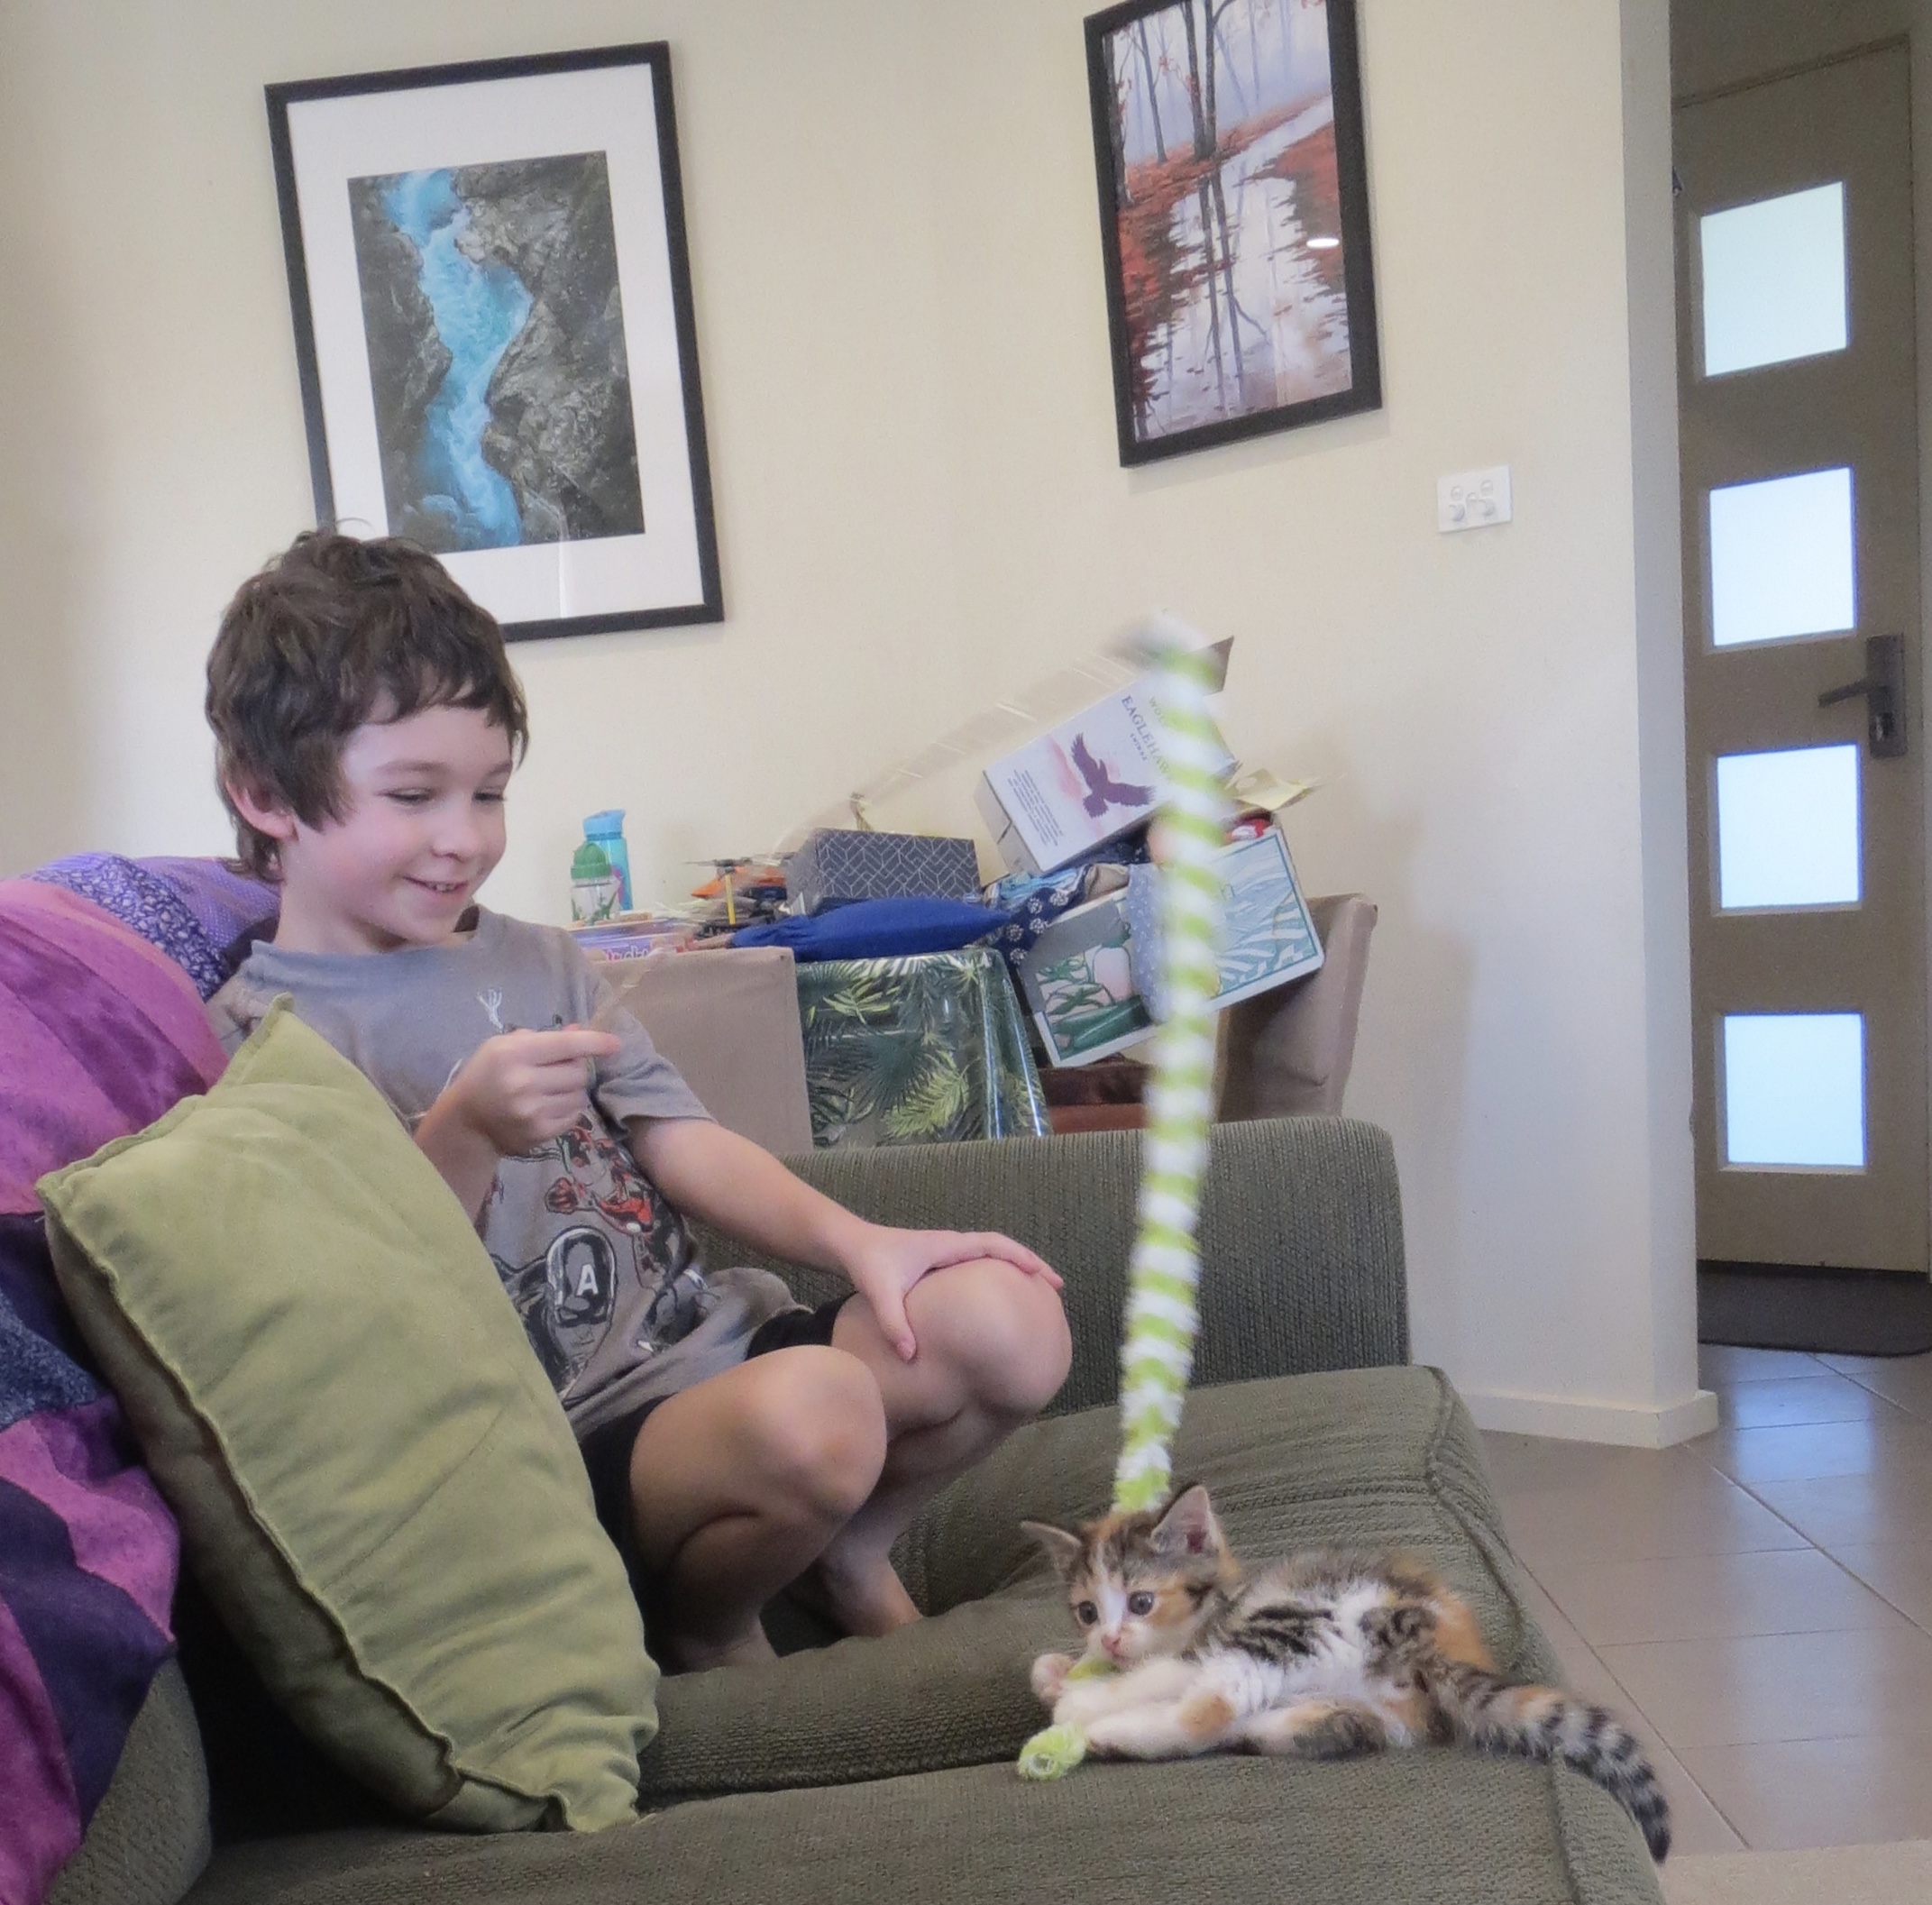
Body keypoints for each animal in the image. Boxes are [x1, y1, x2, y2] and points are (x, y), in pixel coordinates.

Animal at [1021, 1484, 1670, 1863]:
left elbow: (1159, 1674)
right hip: (1370, 1708)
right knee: (1295, 1723)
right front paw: (1056, 1671)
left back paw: (1102, 1730)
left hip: (1300, 1621)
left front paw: (1080, 1697)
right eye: (1086, 1610)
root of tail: (1431, 1639)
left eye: (1141, 1602)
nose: (1108, 1637)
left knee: (1209, 1708)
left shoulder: (1206, 1640)